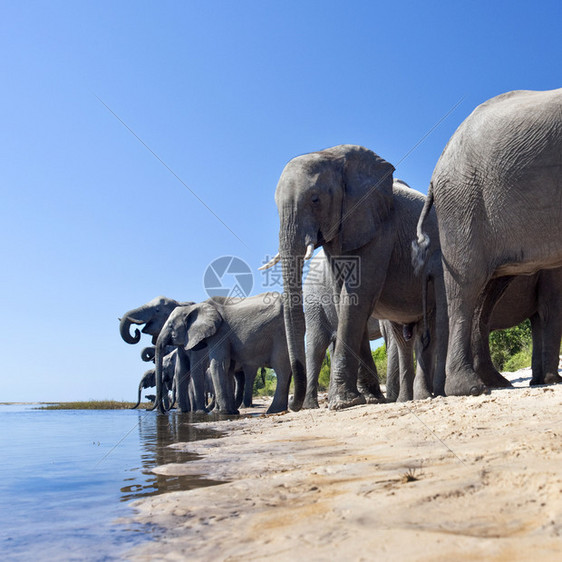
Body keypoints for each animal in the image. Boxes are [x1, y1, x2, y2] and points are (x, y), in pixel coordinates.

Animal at [154, 290, 290, 414]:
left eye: (170, 326)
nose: (163, 412)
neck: (194, 308)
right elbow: (227, 368)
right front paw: (231, 412)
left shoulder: (219, 333)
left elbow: (218, 364)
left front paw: (218, 413)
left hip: (279, 333)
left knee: (280, 368)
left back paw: (273, 410)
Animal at [262, 143, 446, 406]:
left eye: (315, 199)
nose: (291, 406)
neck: (335, 156)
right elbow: (347, 298)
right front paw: (364, 398)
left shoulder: (381, 230)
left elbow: (358, 297)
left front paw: (346, 402)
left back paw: (418, 397)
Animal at [412, 87, 560, 394]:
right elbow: (551, 306)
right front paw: (552, 380)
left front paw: (546, 380)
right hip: (463, 203)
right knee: (466, 286)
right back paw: (469, 388)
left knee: (486, 293)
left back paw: (493, 381)